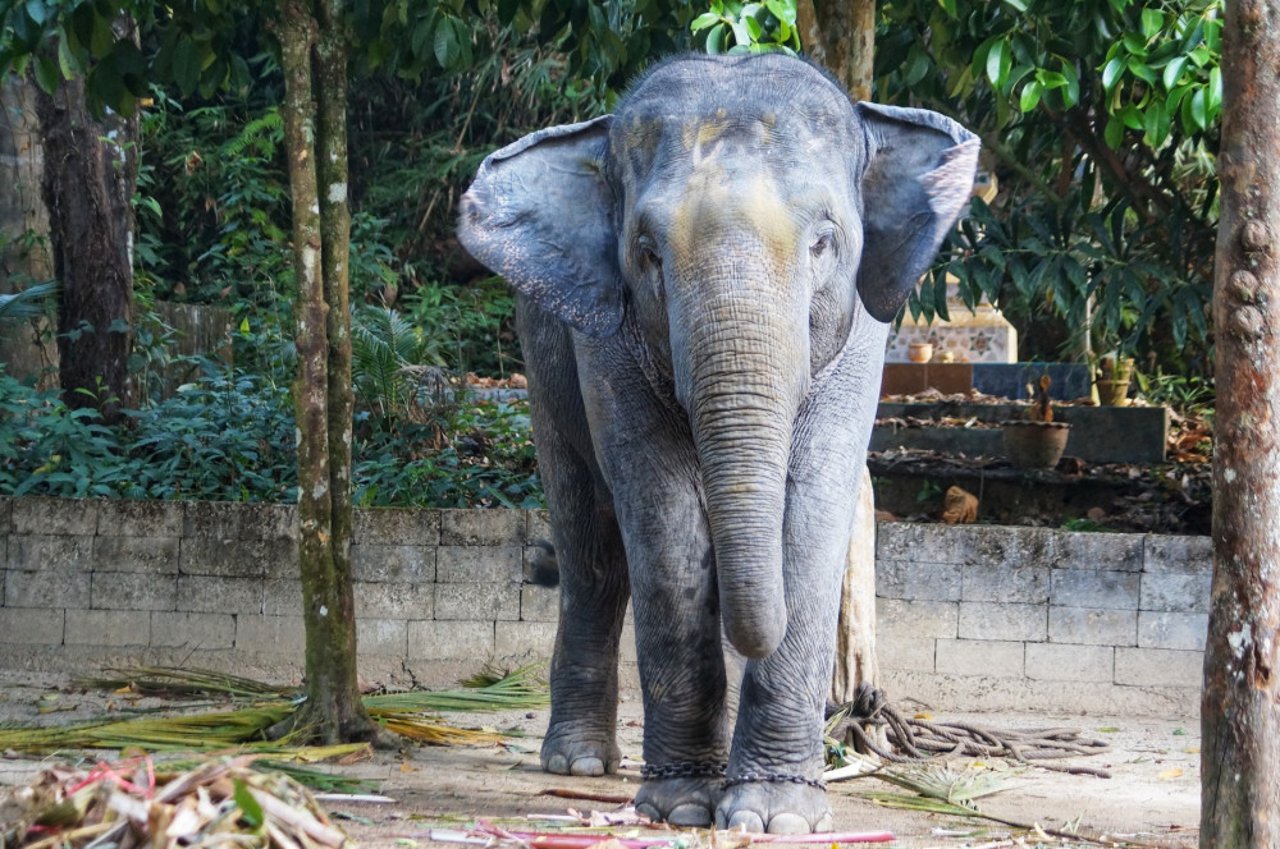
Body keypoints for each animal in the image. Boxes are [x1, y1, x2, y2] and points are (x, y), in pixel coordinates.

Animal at [460, 53, 977, 834]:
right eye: (646, 254)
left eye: (824, 242)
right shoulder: (607, 343)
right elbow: (664, 516)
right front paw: (681, 808)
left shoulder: (865, 330)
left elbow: (814, 506)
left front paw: (774, 818)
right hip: (541, 358)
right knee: (592, 552)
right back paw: (578, 764)